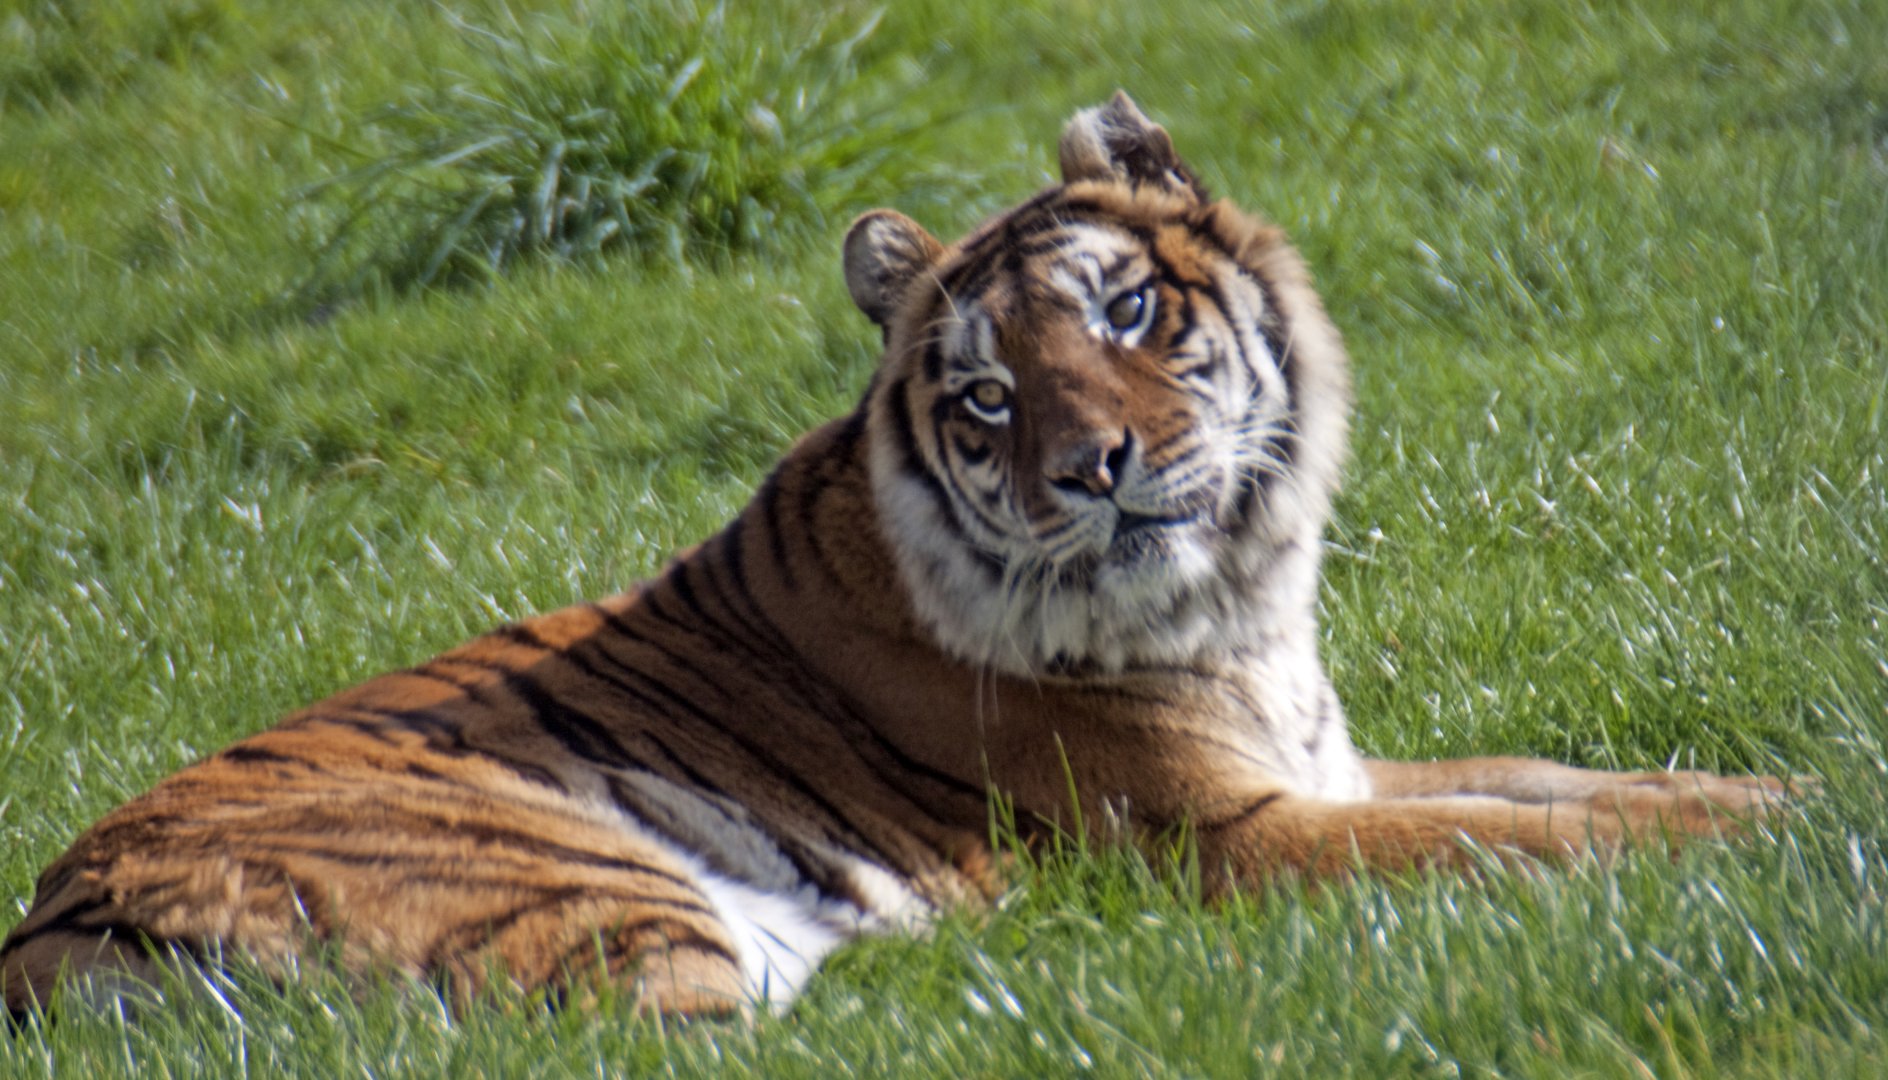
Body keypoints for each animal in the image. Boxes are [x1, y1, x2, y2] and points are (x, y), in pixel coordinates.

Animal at [3, 92, 1796, 1022]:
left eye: (1123, 309)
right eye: (988, 395)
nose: (1093, 470)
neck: (1240, 608)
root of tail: (52, 934)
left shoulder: (1329, 770)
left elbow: (1571, 781)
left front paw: (1786, 783)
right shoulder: (1233, 832)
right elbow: (1522, 836)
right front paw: (1774, 836)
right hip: (586, 891)